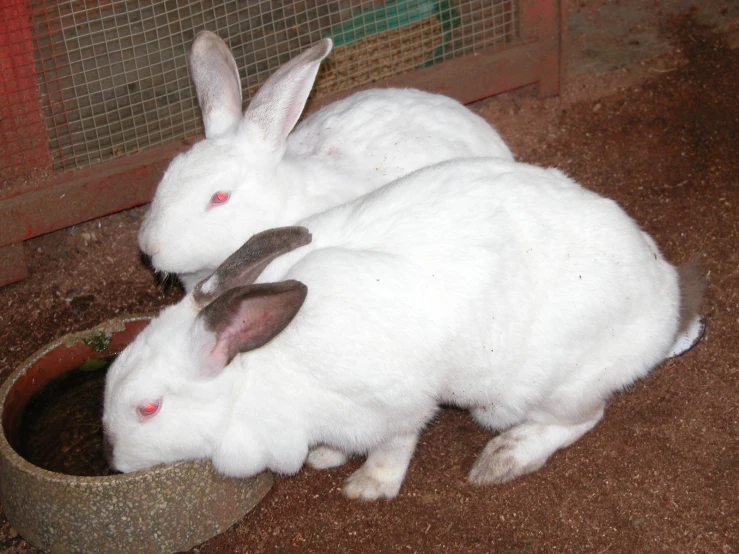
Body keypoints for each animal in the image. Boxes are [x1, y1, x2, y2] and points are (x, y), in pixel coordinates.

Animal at [102, 156, 700, 500]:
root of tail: (666, 300)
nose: (116, 463)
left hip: (535, 390)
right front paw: (326, 456)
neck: (258, 370)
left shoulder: (393, 406)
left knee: (581, 419)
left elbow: (394, 446)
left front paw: (366, 486)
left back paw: (503, 459)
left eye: (148, 409)